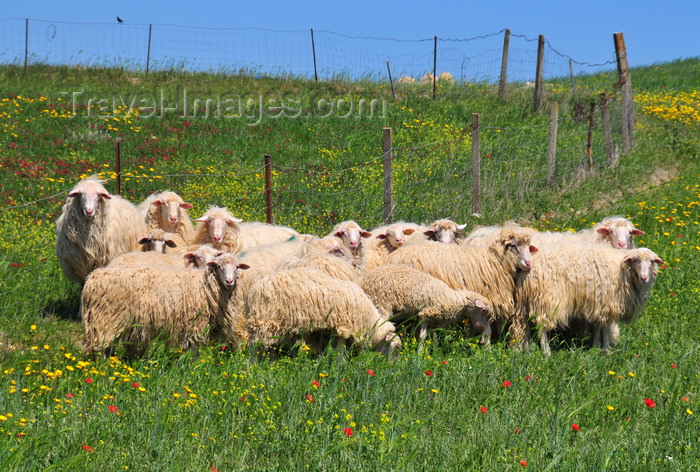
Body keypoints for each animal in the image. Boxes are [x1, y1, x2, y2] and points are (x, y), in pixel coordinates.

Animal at [81, 253, 249, 356]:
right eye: (220, 267)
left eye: (237, 267)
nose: (229, 281)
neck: (206, 285)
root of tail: (92, 279)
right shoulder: (196, 324)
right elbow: (194, 351)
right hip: (105, 318)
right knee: (101, 347)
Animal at [245, 266, 400, 358]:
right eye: (396, 349)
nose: (392, 369)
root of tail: (254, 289)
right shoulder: (344, 328)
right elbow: (339, 351)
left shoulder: (323, 333)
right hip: (266, 321)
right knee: (254, 346)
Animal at [360, 264, 492, 344]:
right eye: (483, 310)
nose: (483, 330)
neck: (452, 298)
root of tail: (364, 281)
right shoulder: (424, 314)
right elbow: (422, 336)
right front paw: (419, 355)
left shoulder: (433, 319)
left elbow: (433, 336)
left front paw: (435, 351)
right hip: (382, 305)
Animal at [386, 225, 540, 346]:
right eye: (513, 246)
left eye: (528, 247)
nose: (528, 264)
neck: (495, 260)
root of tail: (392, 258)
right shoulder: (486, 300)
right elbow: (487, 330)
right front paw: (487, 348)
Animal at [516, 245, 664, 356]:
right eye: (636, 260)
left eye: (652, 261)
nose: (644, 277)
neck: (622, 269)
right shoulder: (607, 304)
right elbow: (605, 328)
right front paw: (606, 350)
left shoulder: (600, 305)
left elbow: (598, 327)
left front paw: (596, 347)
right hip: (548, 298)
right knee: (542, 326)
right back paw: (546, 352)